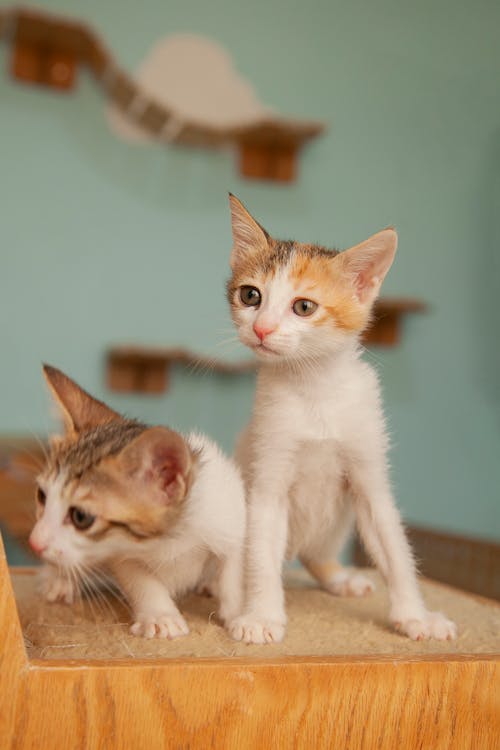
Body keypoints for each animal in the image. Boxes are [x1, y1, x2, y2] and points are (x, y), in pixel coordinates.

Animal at [28, 364, 244, 640]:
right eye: (42, 496)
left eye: (81, 517)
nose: (34, 542)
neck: (169, 538)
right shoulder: (119, 553)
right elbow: (140, 578)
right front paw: (161, 616)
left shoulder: (229, 510)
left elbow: (234, 566)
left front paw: (246, 617)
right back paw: (59, 580)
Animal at [226, 195, 458, 648]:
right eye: (250, 296)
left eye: (303, 307)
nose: (262, 329)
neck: (315, 388)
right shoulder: (267, 478)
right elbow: (260, 553)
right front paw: (261, 615)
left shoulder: (370, 476)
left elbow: (395, 549)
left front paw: (416, 616)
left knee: (315, 551)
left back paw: (338, 576)